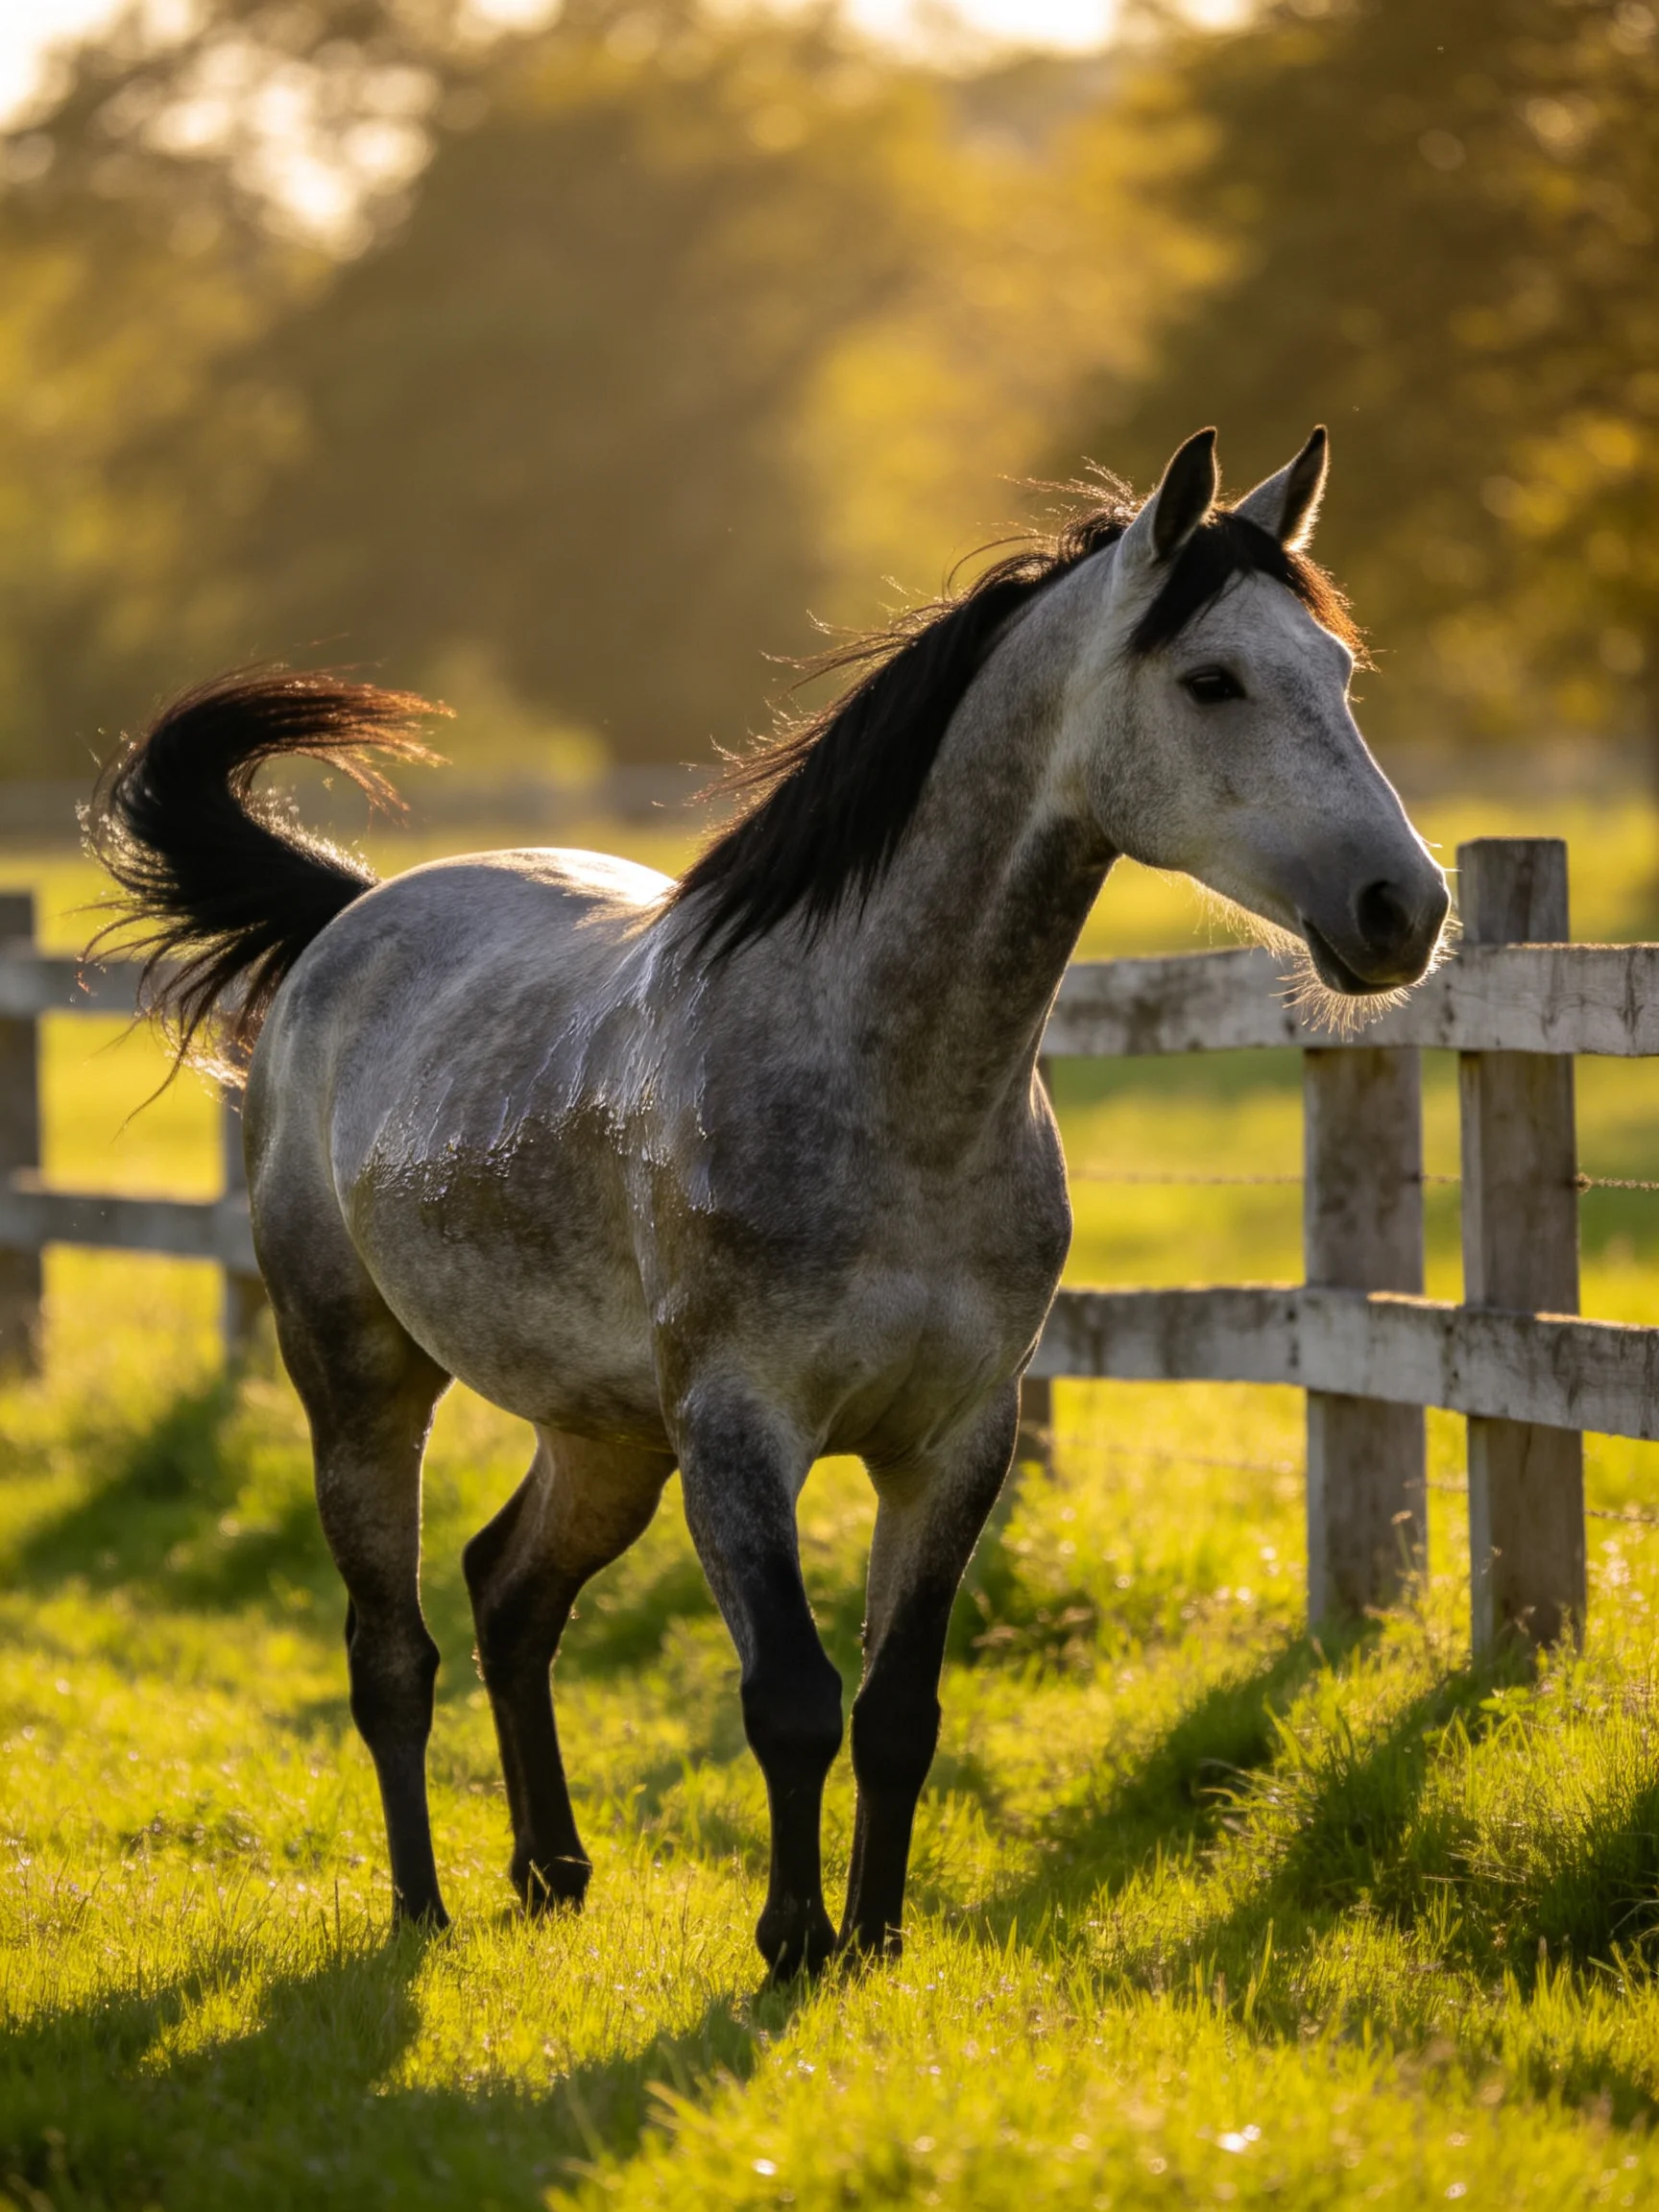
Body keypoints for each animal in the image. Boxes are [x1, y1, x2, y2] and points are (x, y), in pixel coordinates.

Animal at [87, 426, 1449, 1977]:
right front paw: (793, 1940)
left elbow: (899, 1710)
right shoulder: (743, 1434)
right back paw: (419, 1910)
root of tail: (345, 920)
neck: (889, 1093)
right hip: (363, 1384)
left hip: (610, 1434)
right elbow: (790, 1699)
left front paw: (875, 1941)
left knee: (511, 1594)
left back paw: (552, 1871)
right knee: (393, 1656)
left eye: (1337, 672)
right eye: (1212, 680)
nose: (1404, 908)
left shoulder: (955, 1442)